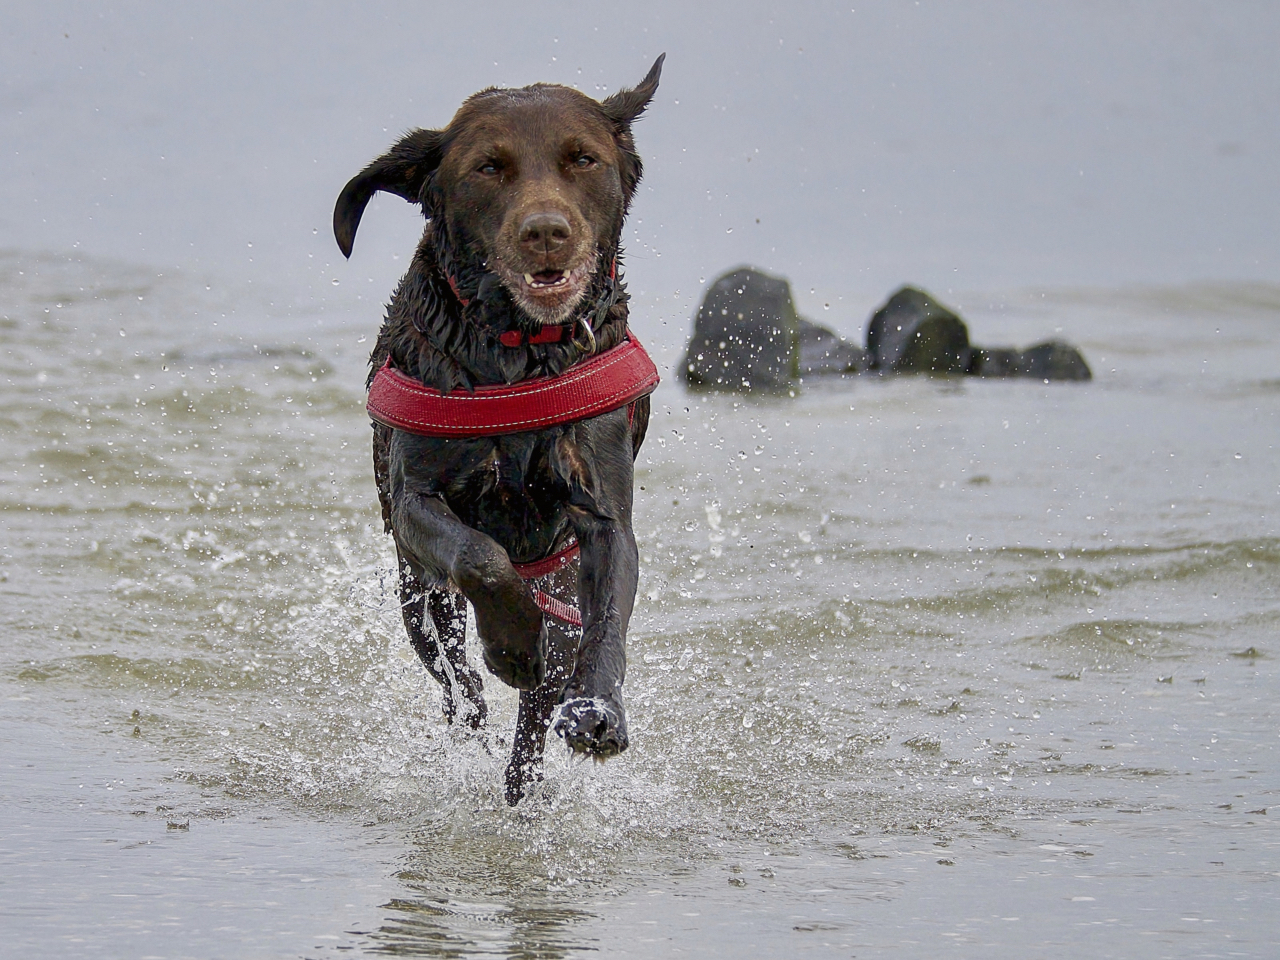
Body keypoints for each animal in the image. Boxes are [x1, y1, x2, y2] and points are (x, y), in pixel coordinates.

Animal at [335, 54, 665, 803]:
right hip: (416, 596)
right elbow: (481, 556)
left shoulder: (601, 513)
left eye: (582, 158)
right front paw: (511, 643)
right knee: (458, 680)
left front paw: (598, 711)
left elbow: (608, 615)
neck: (519, 352)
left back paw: (526, 778)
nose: (546, 231)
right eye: (489, 167)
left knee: (539, 702)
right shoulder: (416, 503)